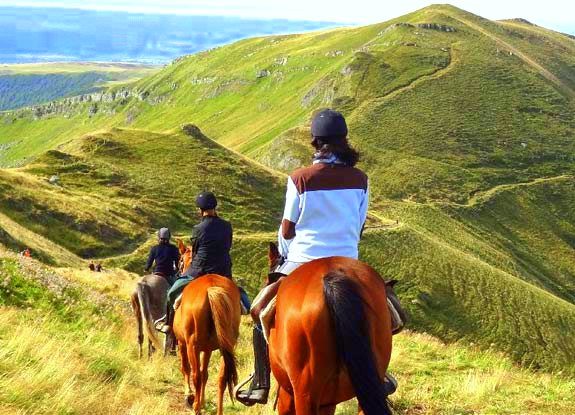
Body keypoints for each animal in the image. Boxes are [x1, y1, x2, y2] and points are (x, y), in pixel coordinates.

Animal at [173, 274, 241, 414]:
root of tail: (211, 287)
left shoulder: (182, 343)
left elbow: (186, 368)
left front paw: (189, 394)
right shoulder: (207, 350)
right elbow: (205, 373)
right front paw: (203, 402)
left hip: (192, 346)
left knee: (196, 376)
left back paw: (196, 407)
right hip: (226, 347)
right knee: (222, 378)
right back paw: (218, 411)